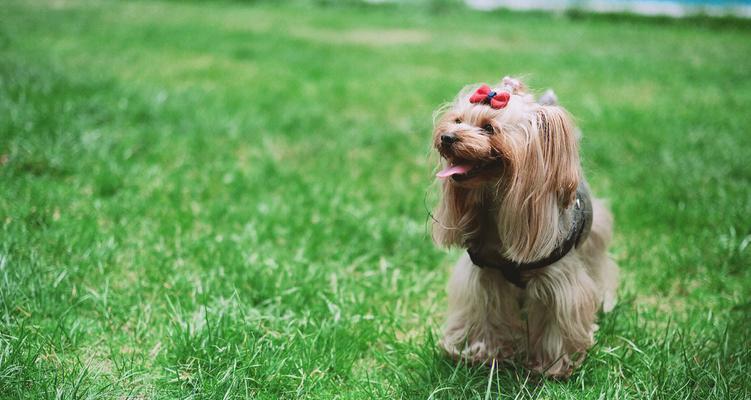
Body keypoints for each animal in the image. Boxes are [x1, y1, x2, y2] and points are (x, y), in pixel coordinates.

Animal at [432, 76, 620, 378]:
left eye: (489, 128)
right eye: (458, 120)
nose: (447, 137)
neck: (496, 201)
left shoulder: (558, 280)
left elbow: (557, 317)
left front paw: (552, 367)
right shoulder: (484, 275)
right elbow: (484, 310)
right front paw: (484, 354)